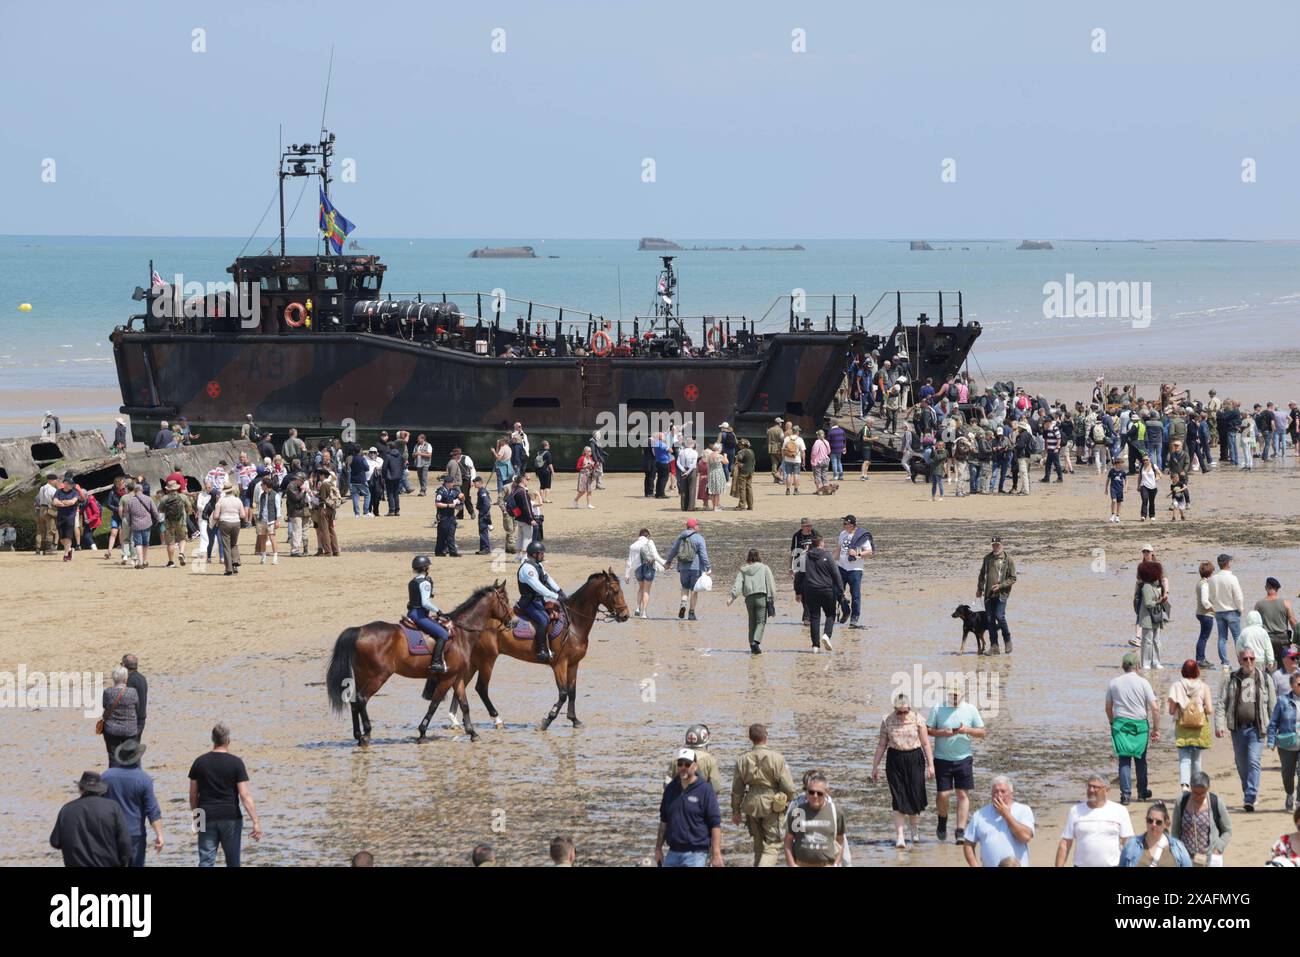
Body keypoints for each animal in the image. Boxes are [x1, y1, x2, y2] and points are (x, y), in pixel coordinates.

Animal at [325, 579, 512, 743]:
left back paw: (358, 735)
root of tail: (360, 630)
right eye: (505, 600)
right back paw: (367, 734)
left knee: (354, 701)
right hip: (378, 676)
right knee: (362, 699)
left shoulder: (456, 677)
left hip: (362, 675)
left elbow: (464, 705)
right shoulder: (446, 679)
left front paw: (472, 733)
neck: (461, 633)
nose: (512, 621)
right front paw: (422, 733)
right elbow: (434, 705)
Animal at [447, 566, 629, 733]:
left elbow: (572, 692)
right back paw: (497, 720)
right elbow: (563, 694)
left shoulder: (573, 664)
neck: (574, 624)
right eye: (614, 591)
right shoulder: (559, 665)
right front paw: (547, 721)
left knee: (461, 684)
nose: (625, 615)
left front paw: (574, 719)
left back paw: (454, 720)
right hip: (487, 660)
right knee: (481, 688)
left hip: (475, 661)